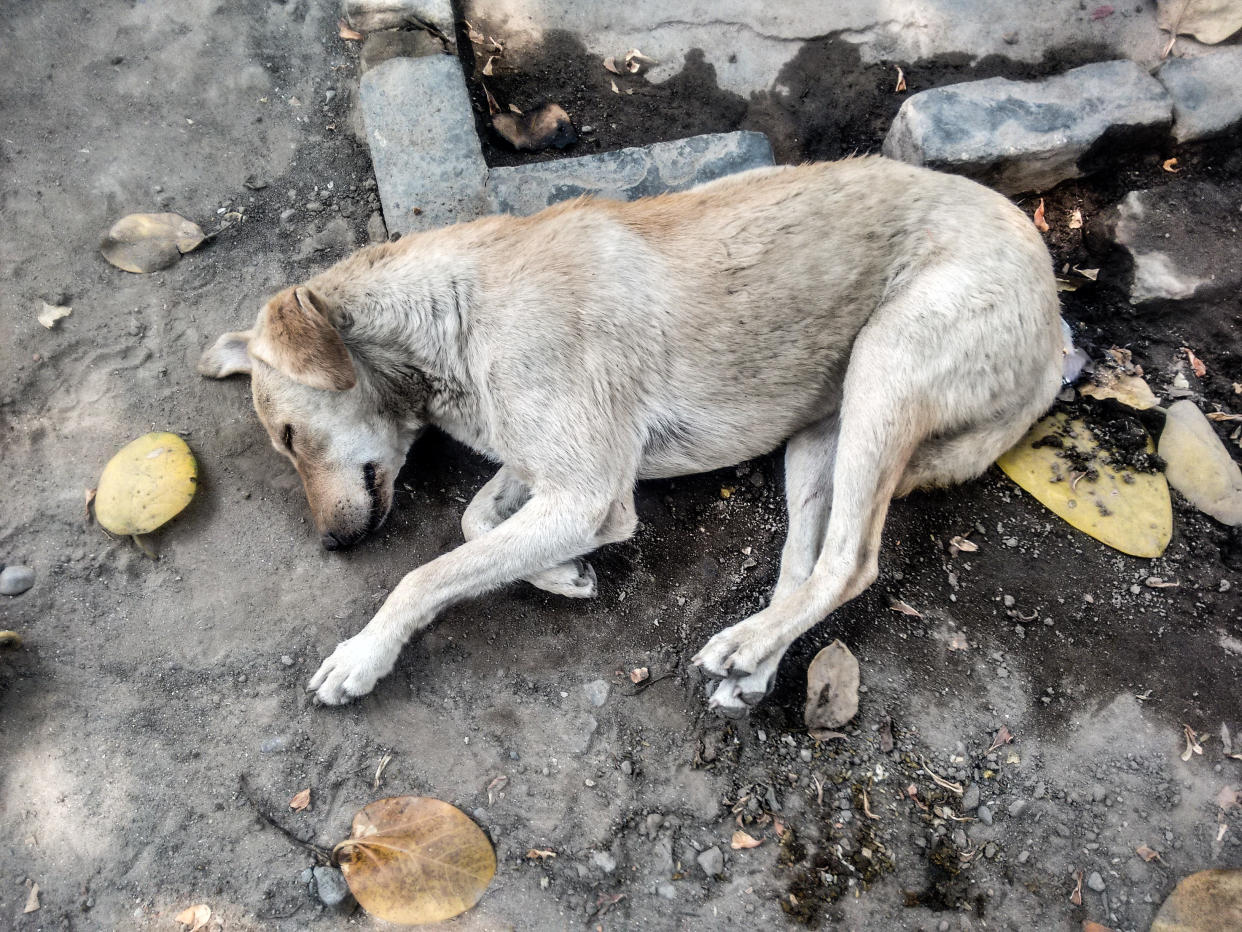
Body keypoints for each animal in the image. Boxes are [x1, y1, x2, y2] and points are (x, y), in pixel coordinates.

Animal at [198, 159, 1063, 715]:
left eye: (288, 435)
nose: (331, 545)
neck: (456, 312)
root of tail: (1057, 320)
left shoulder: (590, 496)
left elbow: (425, 574)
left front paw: (362, 655)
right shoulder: (550, 469)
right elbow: (476, 522)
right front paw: (558, 574)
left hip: (888, 368)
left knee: (851, 562)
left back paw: (746, 645)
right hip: (820, 437)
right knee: (807, 565)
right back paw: (753, 661)